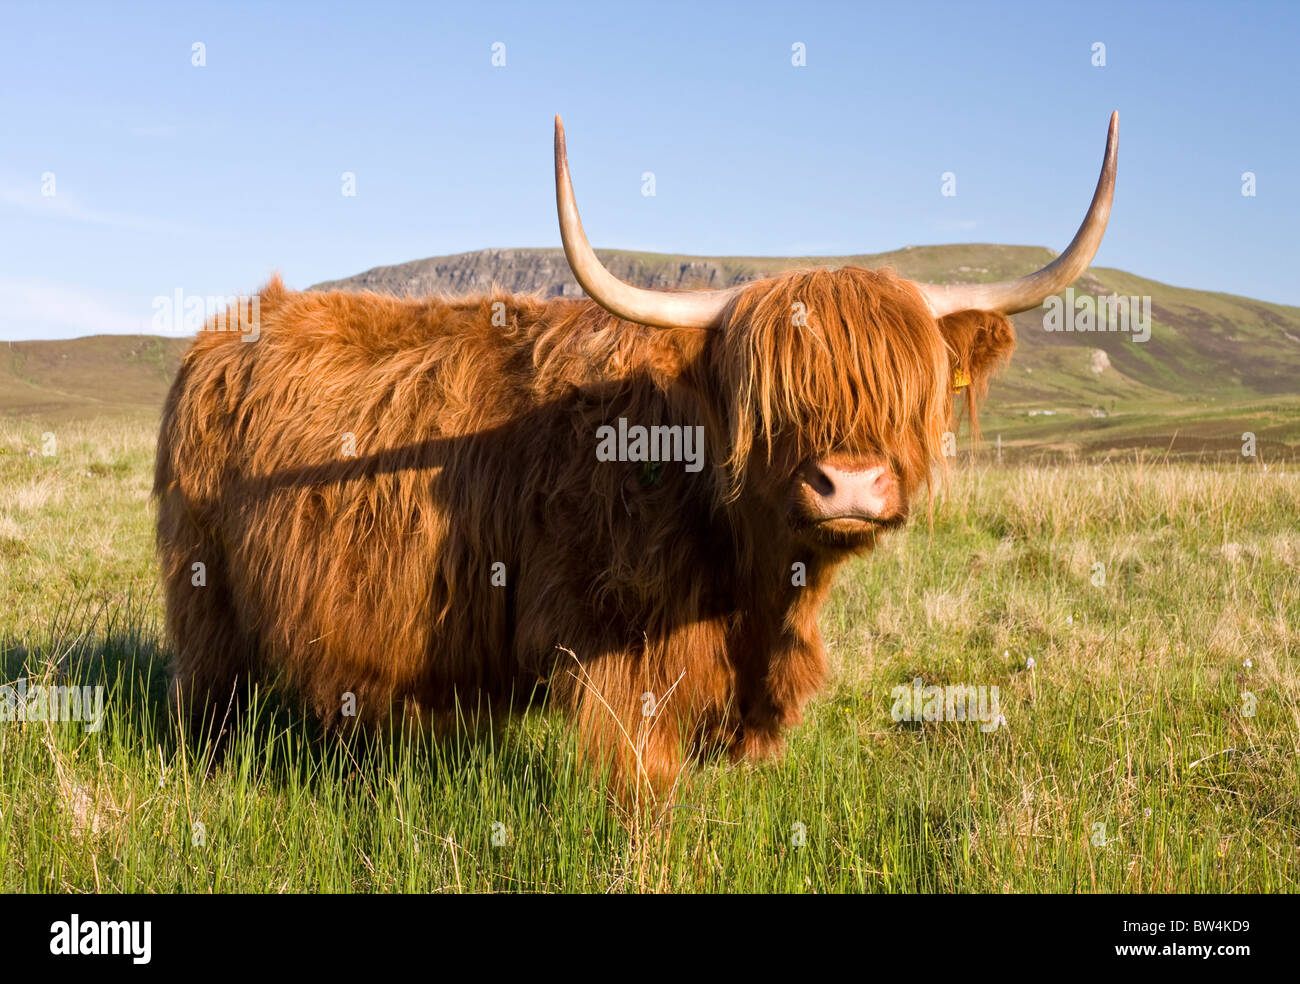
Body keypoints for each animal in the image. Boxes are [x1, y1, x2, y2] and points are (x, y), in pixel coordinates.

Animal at [155, 113, 1117, 795]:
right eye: (768, 394)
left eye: (905, 390)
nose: (849, 483)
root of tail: (229, 327)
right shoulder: (617, 648)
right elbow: (641, 787)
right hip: (204, 596)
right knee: (211, 702)